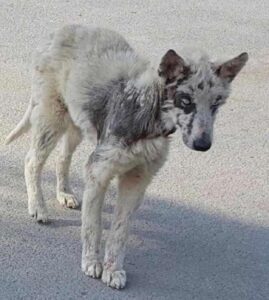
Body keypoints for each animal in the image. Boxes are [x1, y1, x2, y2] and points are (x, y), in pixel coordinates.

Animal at [5, 25, 247, 288]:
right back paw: (37, 207)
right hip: (52, 118)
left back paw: (64, 194)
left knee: (63, 158)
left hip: (77, 122)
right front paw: (91, 262)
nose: (203, 145)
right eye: (185, 101)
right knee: (32, 161)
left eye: (216, 104)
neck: (145, 112)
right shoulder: (98, 171)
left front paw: (113, 269)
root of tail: (65, 29)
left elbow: (120, 230)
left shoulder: (137, 180)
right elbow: (93, 225)